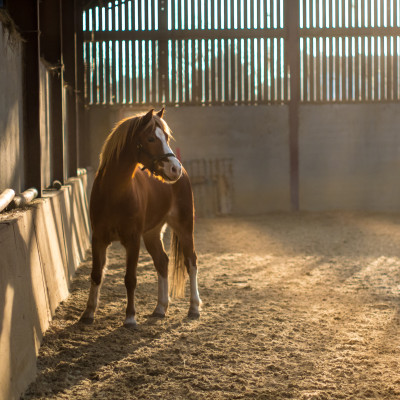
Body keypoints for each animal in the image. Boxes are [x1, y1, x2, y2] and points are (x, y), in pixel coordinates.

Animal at [80, 107, 202, 328]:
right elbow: (96, 274)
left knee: (191, 262)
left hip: (184, 227)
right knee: (162, 262)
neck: (114, 193)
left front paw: (130, 317)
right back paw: (160, 308)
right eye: (151, 138)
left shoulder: (133, 240)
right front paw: (88, 313)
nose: (175, 168)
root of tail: (185, 175)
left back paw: (194, 308)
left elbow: (130, 278)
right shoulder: (98, 239)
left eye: (167, 137)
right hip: (152, 234)